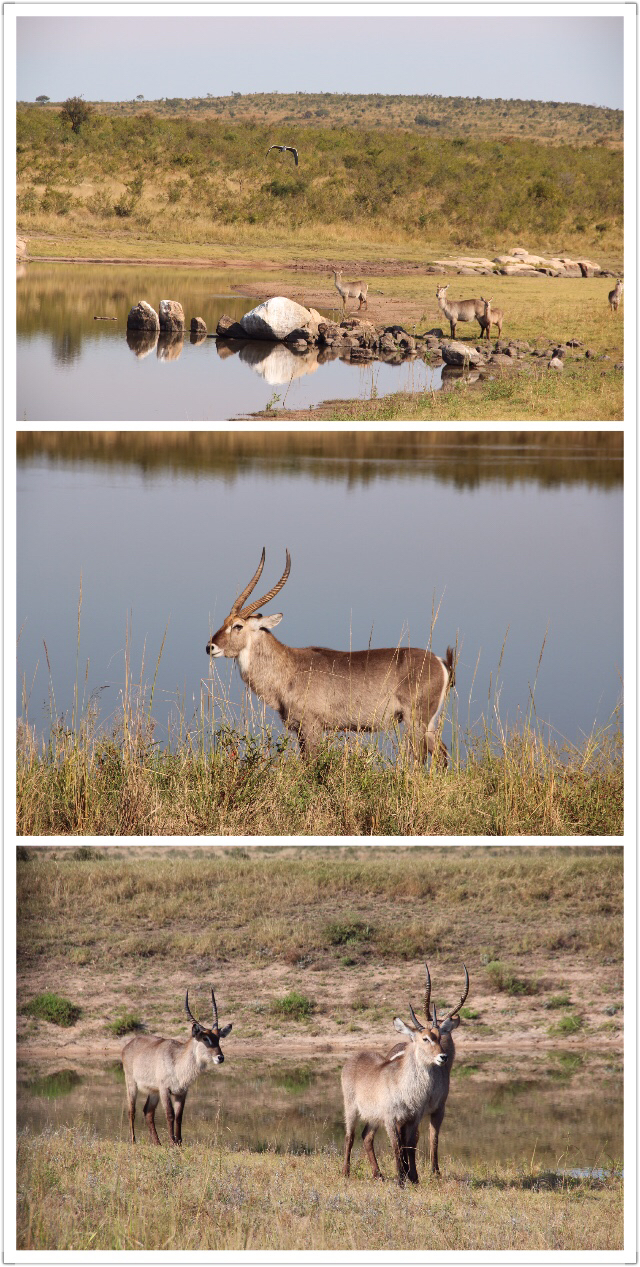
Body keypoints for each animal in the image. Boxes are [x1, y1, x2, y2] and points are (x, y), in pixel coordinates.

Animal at [121, 988, 230, 1150]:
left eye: (218, 1038)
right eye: (205, 1038)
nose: (220, 1057)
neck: (177, 1062)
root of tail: (129, 1044)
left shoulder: (181, 1092)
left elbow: (179, 1116)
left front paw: (179, 1142)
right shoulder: (165, 1090)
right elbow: (170, 1114)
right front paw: (172, 1142)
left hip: (153, 1091)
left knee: (148, 1112)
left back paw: (157, 1143)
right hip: (132, 1084)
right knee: (131, 1111)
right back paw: (134, 1140)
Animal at [205, 549, 453, 765]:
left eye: (238, 625)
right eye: (225, 622)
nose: (210, 647)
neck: (289, 668)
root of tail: (441, 662)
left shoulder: (311, 727)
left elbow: (311, 764)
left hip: (416, 720)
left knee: (420, 759)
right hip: (428, 723)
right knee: (441, 755)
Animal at [339, 957, 468, 1185]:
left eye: (440, 1035)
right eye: (425, 1038)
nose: (442, 1057)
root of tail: (355, 1057)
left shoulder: (413, 1118)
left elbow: (410, 1145)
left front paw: (413, 1178)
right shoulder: (392, 1119)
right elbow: (397, 1147)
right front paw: (401, 1180)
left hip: (374, 1117)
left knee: (366, 1136)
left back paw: (378, 1175)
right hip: (352, 1110)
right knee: (349, 1136)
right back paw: (346, 1173)